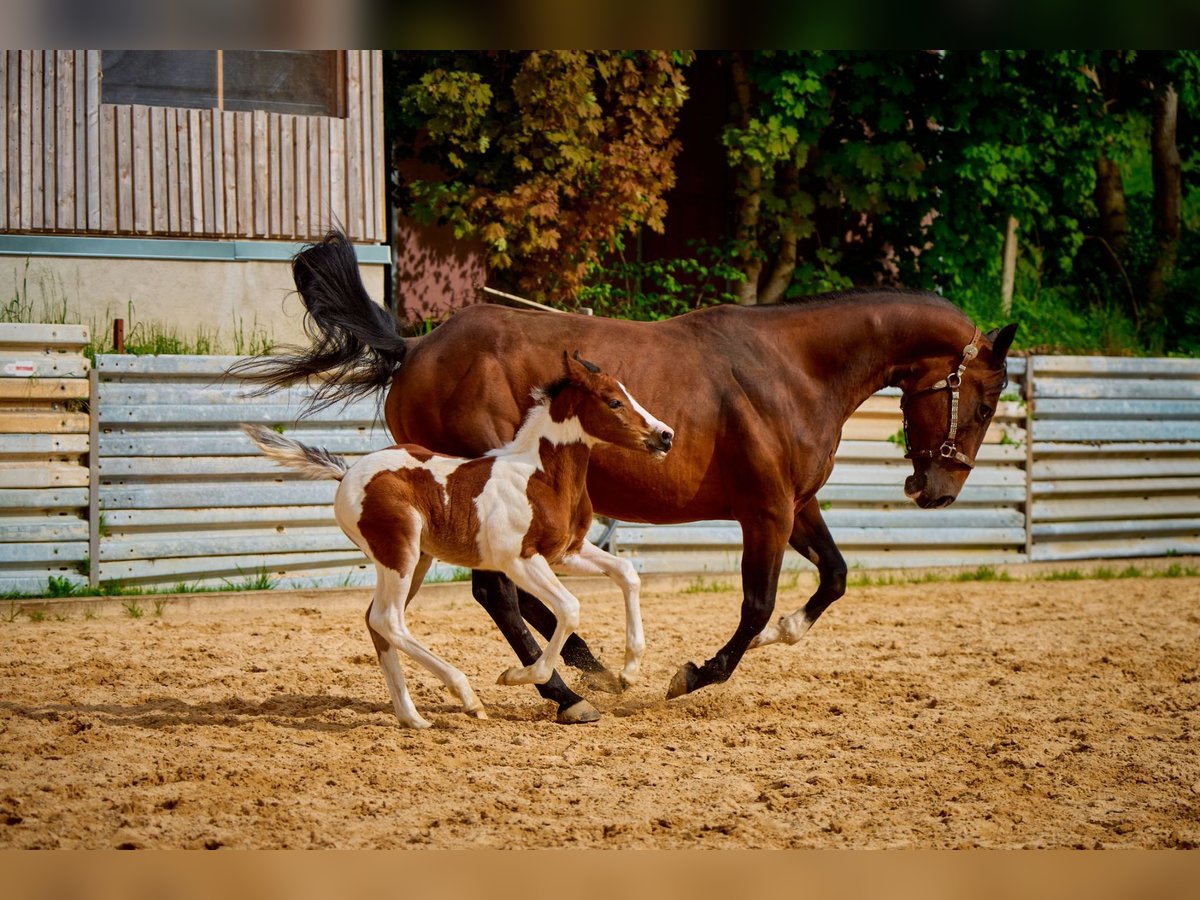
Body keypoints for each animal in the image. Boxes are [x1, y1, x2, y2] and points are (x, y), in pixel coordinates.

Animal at [241, 355, 676, 729]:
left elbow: (627, 573)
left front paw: (628, 673)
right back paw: (467, 697)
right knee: (388, 619)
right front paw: (517, 675)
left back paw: (413, 717)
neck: (539, 476)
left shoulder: (566, 552)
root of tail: (347, 472)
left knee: (376, 621)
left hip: (414, 560)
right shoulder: (520, 561)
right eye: (614, 401)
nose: (665, 436)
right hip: (398, 554)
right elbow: (570, 608)